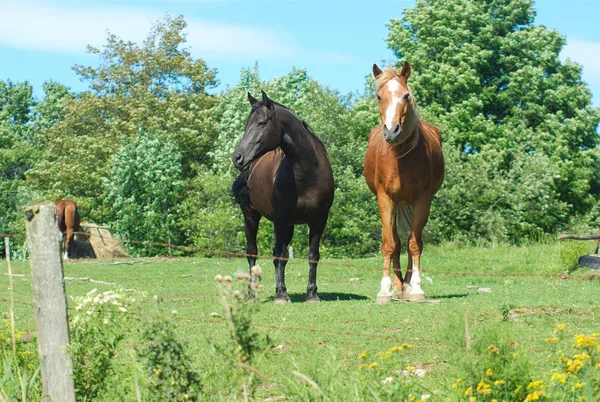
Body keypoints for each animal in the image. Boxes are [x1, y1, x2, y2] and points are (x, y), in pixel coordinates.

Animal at [232, 91, 336, 304]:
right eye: (246, 124)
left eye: (261, 123)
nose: (237, 157)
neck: (306, 173)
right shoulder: (280, 219)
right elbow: (280, 255)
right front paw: (281, 294)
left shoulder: (319, 220)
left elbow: (313, 255)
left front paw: (312, 294)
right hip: (251, 217)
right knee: (252, 253)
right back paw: (252, 294)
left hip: (289, 227)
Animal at [364, 61, 442, 304]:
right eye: (379, 96)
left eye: (406, 96)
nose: (391, 131)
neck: (400, 155)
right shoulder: (385, 199)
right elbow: (390, 244)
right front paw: (385, 290)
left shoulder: (422, 201)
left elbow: (415, 244)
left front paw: (415, 288)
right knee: (397, 242)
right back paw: (398, 287)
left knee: (409, 241)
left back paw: (406, 286)